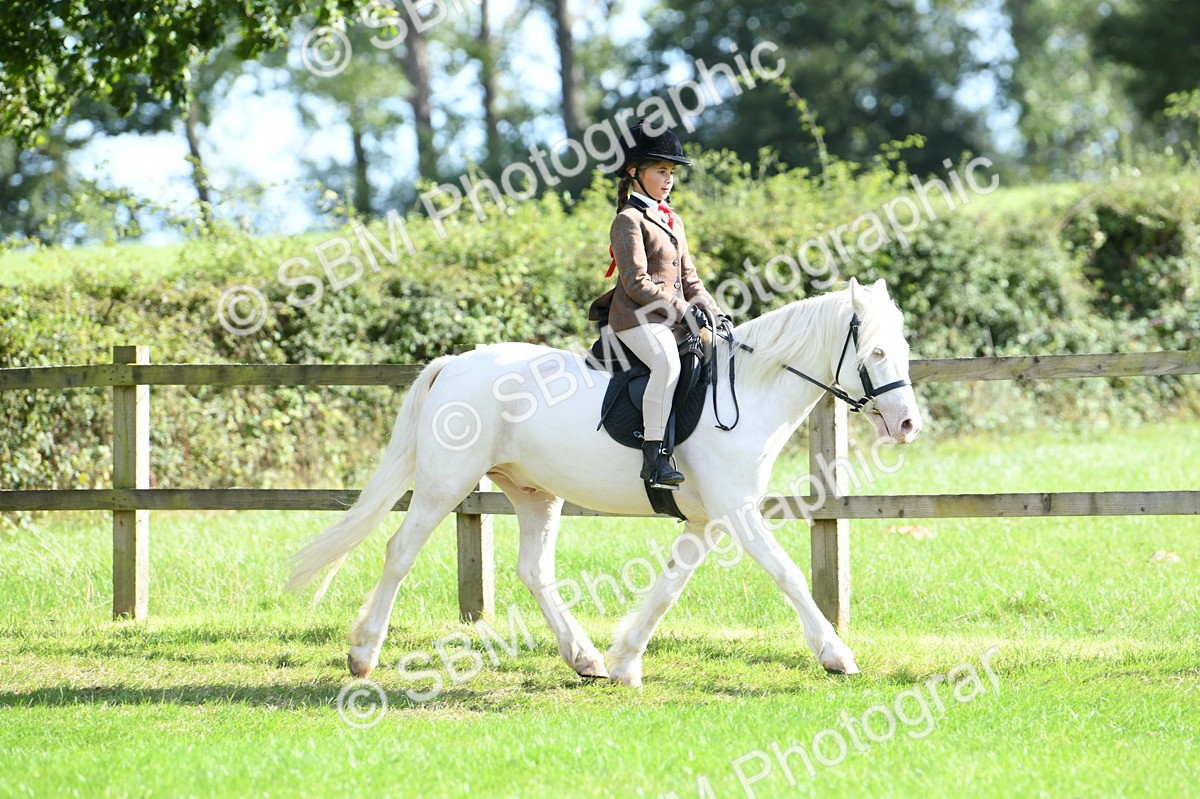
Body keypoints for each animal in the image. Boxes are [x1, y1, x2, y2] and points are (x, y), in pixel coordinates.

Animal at [287, 277, 922, 686]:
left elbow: (669, 587)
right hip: (448, 482)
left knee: (534, 570)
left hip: (534, 493)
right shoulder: (737, 511)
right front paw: (836, 656)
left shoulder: (707, 520)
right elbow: (788, 574)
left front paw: (625, 661)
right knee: (400, 551)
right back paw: (363, 655)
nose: (908, 425)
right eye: (876, 352)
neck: (749, 388)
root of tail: (455, 363)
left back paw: (585, 660)